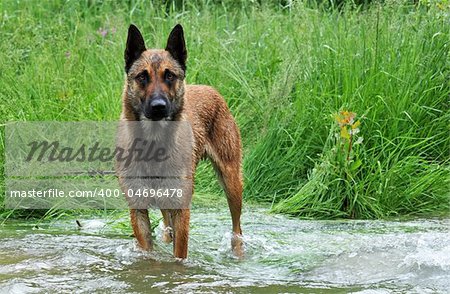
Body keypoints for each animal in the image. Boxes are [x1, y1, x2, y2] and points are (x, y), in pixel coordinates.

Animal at [116, 24, 243, 260]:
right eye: (142, 77)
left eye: (169, 75)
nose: (158, 106)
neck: (153, 143)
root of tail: (212, 90)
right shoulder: (138, 208)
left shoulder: (181, 209)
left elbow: (179, 255)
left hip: (231, 182)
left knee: (237, 227)